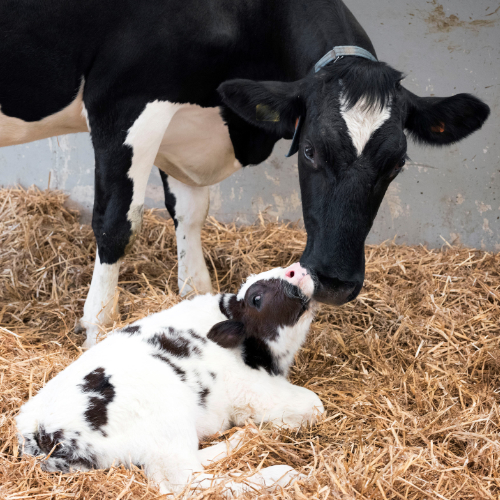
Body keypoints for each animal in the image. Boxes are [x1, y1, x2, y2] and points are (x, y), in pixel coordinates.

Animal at [0, 0, 488, 348]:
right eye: (309, 150)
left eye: (398, 163)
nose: (334, 282)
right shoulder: (121, 102)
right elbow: (116, 220)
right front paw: (99, 326)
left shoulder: (183, 124)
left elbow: (190, 212)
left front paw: (196, 297)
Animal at [15, 266, 324, 496]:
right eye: (256, 299)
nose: (297, 269)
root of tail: (39, 435)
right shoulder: (253, 390)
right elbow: (315, 405)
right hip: (166, 427)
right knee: (190, 483)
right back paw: (282, 474)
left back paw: (243, 438)